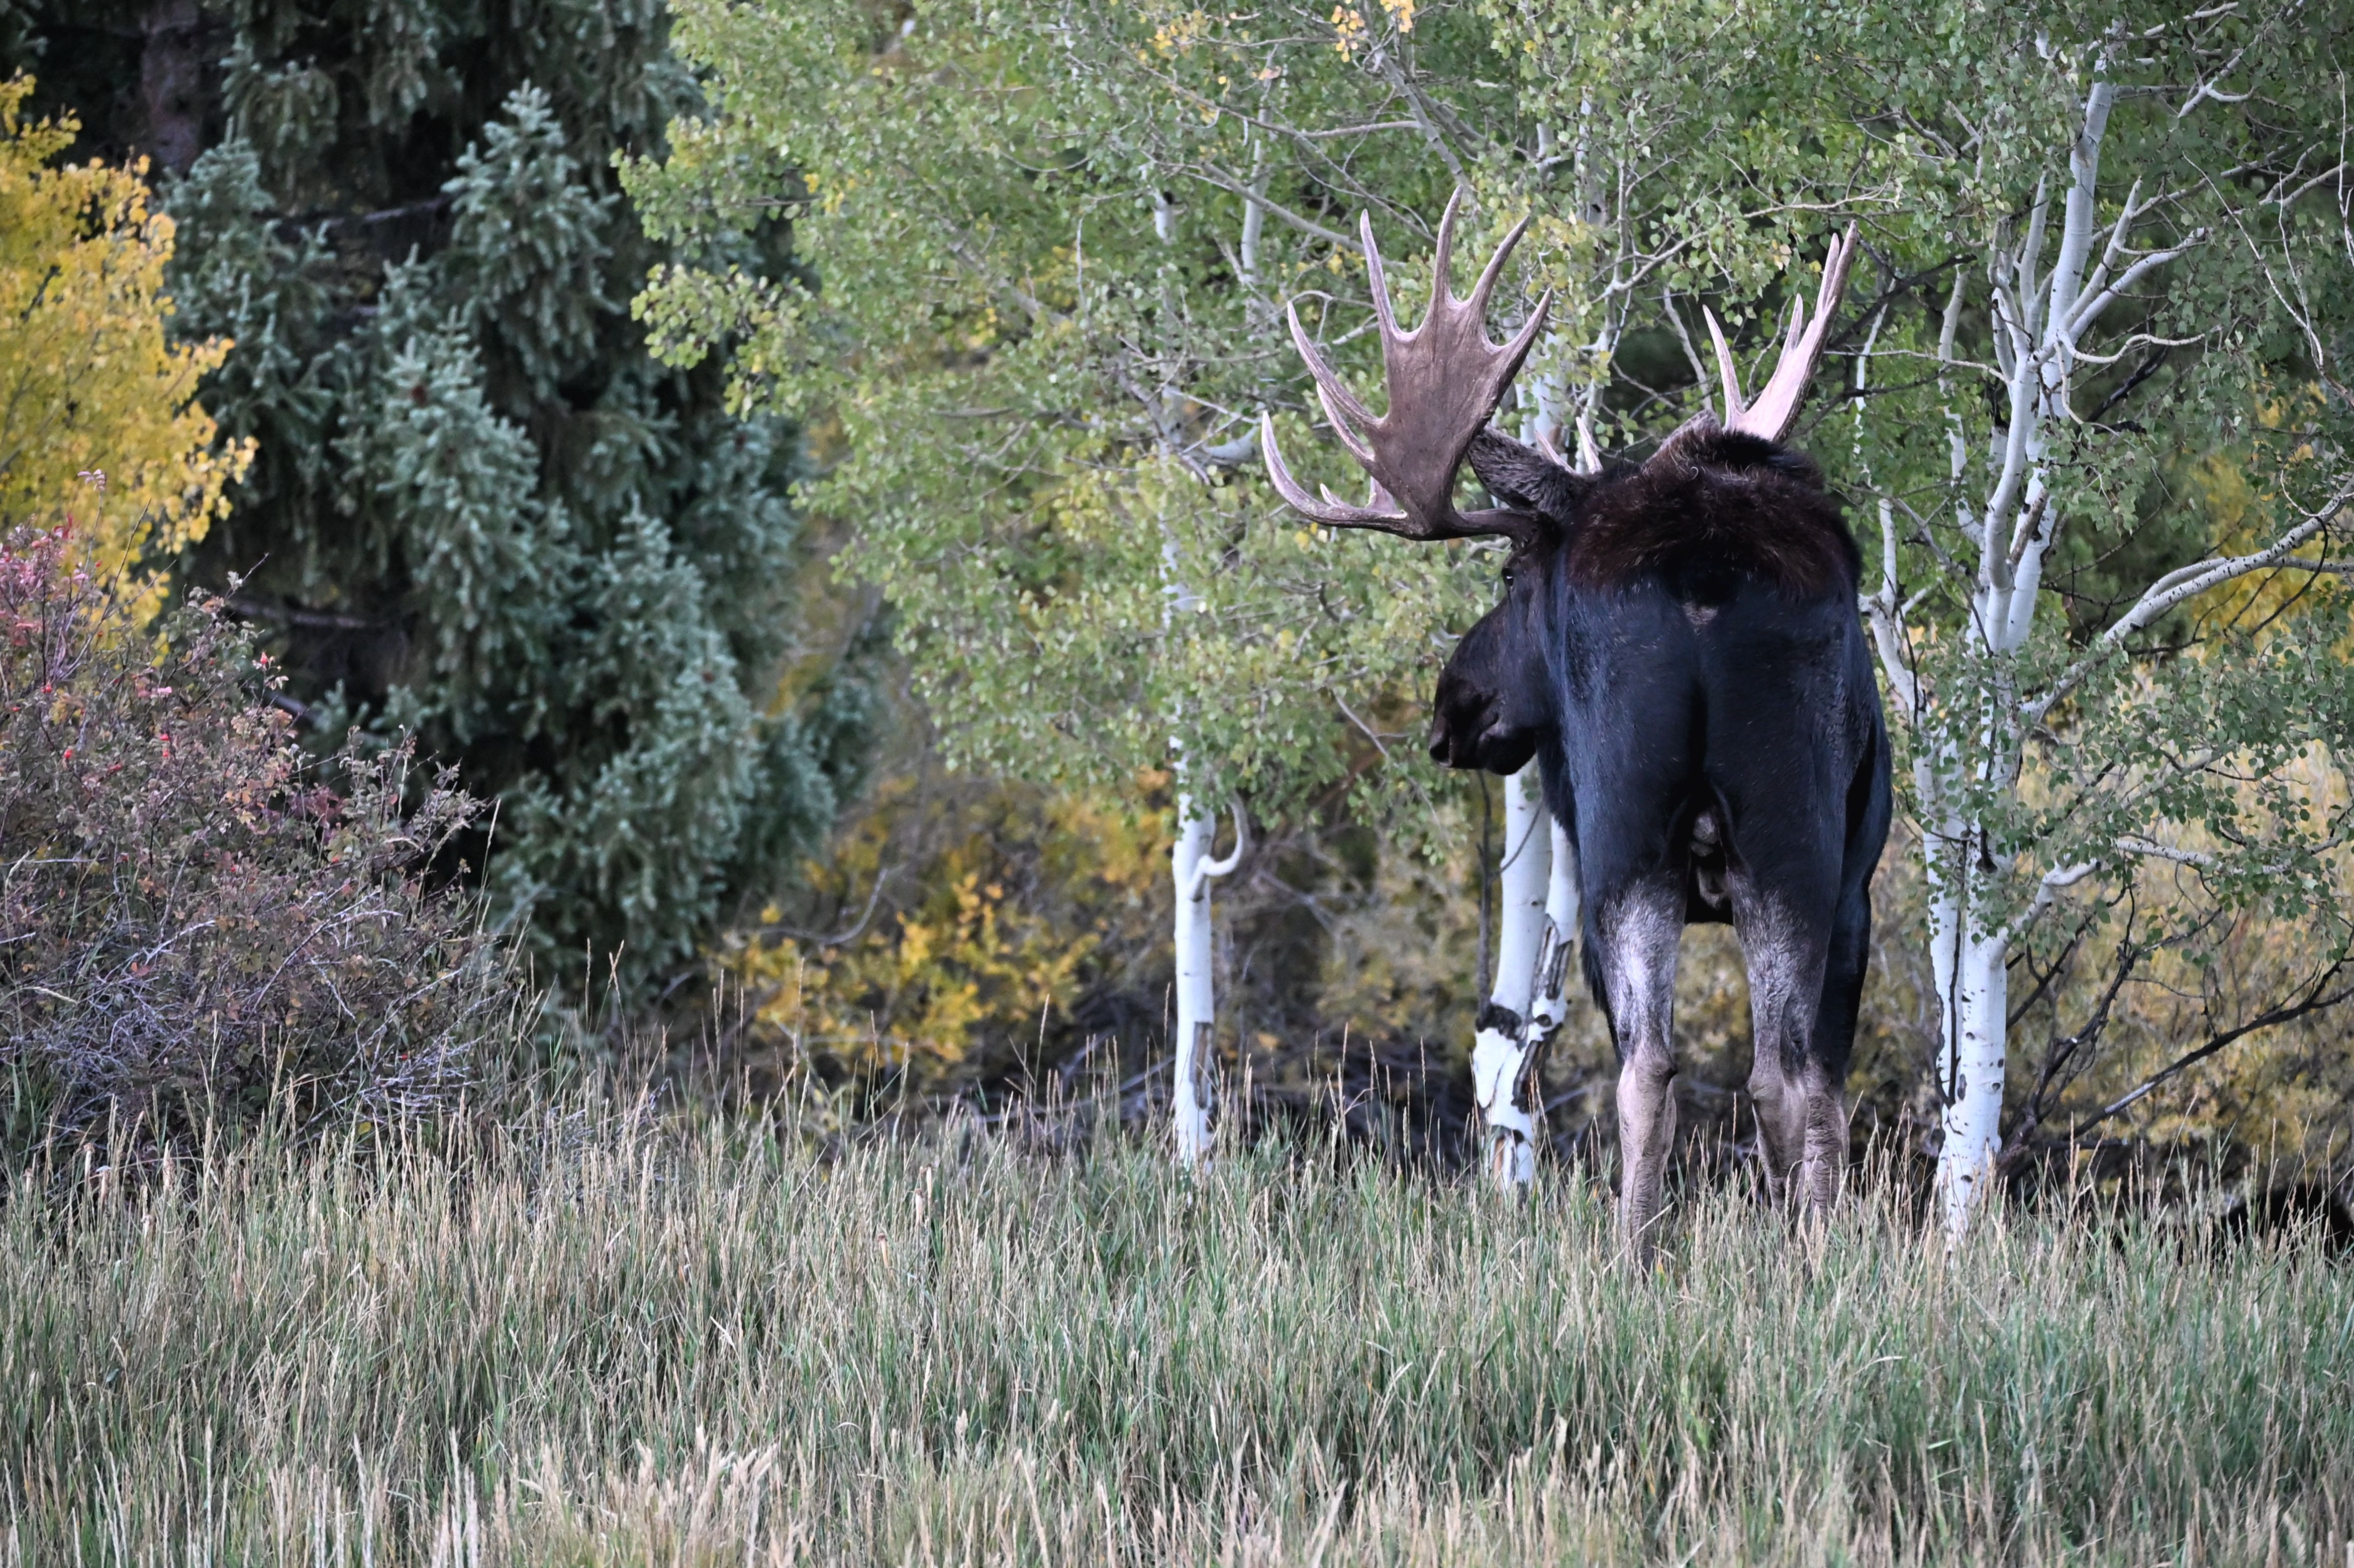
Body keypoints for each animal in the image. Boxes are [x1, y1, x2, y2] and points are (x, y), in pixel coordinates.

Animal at [1261, 193, 1892, 1255]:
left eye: (1511, 575)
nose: (1452, 707)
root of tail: (1699, 565)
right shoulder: (1849, 885)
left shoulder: (1848, 883)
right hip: (1756, 832)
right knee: (1756, 1071)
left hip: (1661, 835)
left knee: (1690, 1067)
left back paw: (1675, 1255)